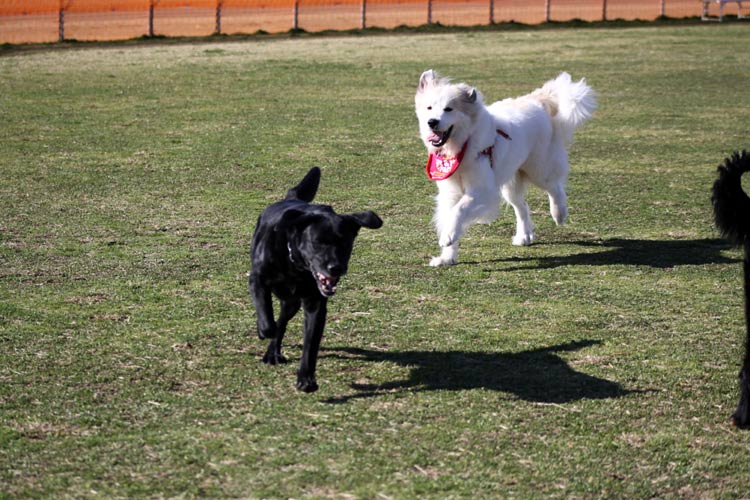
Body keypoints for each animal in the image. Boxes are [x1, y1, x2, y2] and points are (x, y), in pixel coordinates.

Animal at [251, 166, 384, 392]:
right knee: (276, 321)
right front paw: (263, 330)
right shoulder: (257, 279)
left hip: (292, 303)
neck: (296, 266)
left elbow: (310, 344)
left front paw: (306, 378)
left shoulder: (315, 304)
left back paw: (273, 352)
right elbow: (265, 313)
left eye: (345, 243)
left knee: (283, 320)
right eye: (317, 242)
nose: (336, 267)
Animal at [414, 71, 596, 266]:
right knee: (522, 206)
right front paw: (447, 257)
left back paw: (559, 214)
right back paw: (524, 236)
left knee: (555, 188)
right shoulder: (450, 194)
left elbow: (459, 210)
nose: (432, 122)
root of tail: (536, 99)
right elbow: (450, 216)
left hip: (539, 170)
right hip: (511, 183)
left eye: (448, 109)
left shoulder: (483, 191)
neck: (461, 146)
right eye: (429, 108)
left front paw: (448, 236)